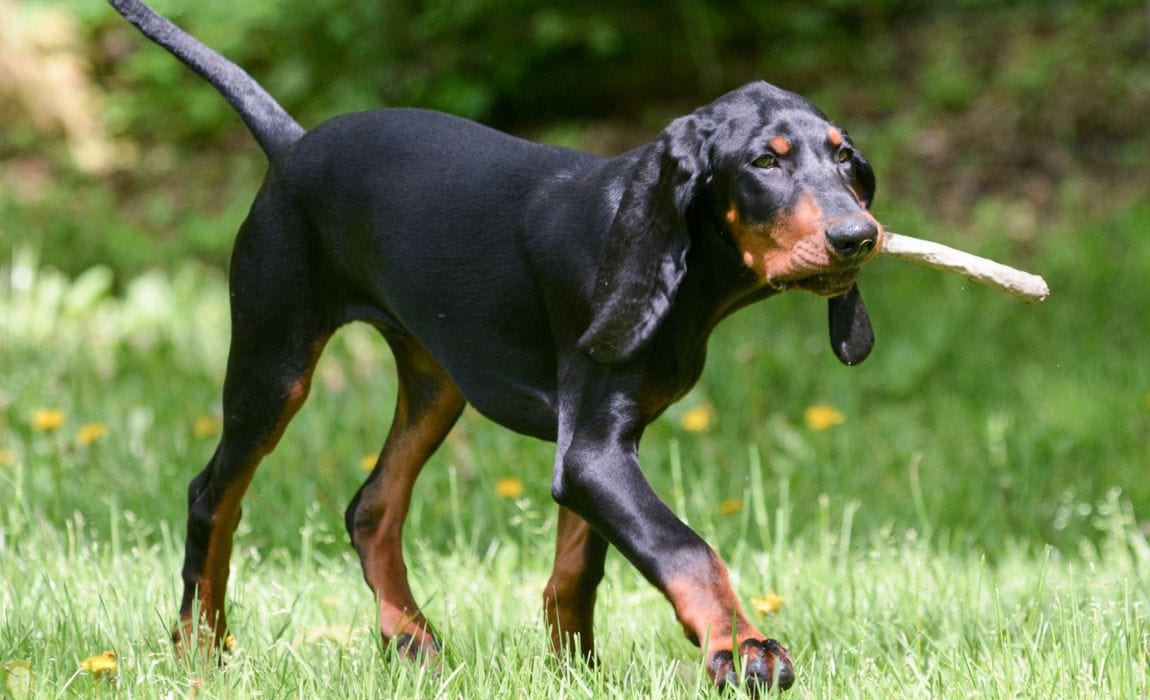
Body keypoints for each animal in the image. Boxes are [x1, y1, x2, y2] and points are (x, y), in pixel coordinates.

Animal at [108, 0, 883, 689]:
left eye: (846, 159)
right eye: (764, 162)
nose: (858, 237)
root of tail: (292, 142)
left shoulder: (598, 446)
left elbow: (578, 568)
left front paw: (578, 675)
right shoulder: (594, 450)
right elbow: (685, 548)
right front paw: (743, 647)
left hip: (435, 382)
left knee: (371, 506)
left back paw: (411, 640)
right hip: (274, 362)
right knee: (213, 495)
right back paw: (199, 652)